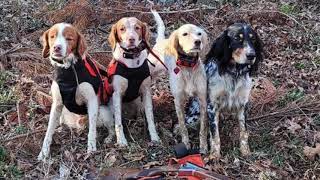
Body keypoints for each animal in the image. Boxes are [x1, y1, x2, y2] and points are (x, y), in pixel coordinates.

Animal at [38, 23, 114, 161]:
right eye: (52, 37)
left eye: (69, 38)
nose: (57, 47)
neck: (68, 69)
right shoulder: (57, 104)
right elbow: (49, 130)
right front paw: (44, 152)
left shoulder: (92, 101)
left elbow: (92, 131)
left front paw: (91, 148)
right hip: (63, 113)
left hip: (103, 111)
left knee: (110, 127)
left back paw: (109, 138)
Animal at [148, 10, 210, 153]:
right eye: (185, 34)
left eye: (199, 33)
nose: (198, 42)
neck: (188, 67)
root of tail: (161, 40)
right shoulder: (178, 101)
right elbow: (182, 126)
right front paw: (186, 144)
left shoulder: (202, 100)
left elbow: (203, 128)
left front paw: (203, 147)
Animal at [185, 22, 262, 159]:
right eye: (237, 38)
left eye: (253, 39)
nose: (251, 55)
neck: (234, 73)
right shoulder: (212, 106)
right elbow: (215, 135)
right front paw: (214, 155)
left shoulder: (243, 105)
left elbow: (244, 132)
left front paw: (245, 152)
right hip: (195, 117)